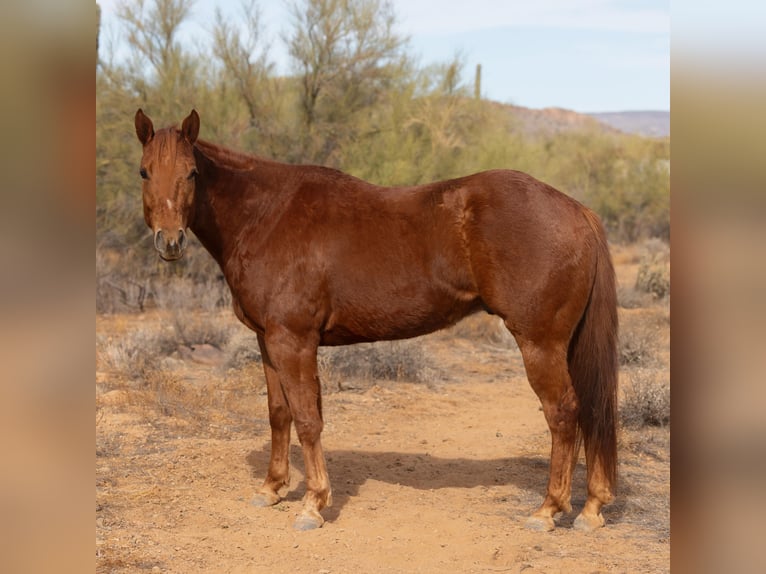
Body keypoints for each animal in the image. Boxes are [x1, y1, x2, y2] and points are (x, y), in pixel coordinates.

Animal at [135, 110, 620, 532]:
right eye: (144, 172)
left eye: (191, 173)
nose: (169, 242)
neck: (265, 215)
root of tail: (577, 211)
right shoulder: (267, 341)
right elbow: (279, 413)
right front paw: (271, 489)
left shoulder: (294, 341)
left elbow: (308, 419)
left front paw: (313, 505)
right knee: (590, 410)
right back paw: (592, 507)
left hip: (540, 343)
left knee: (563, 413)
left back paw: (548, 510)